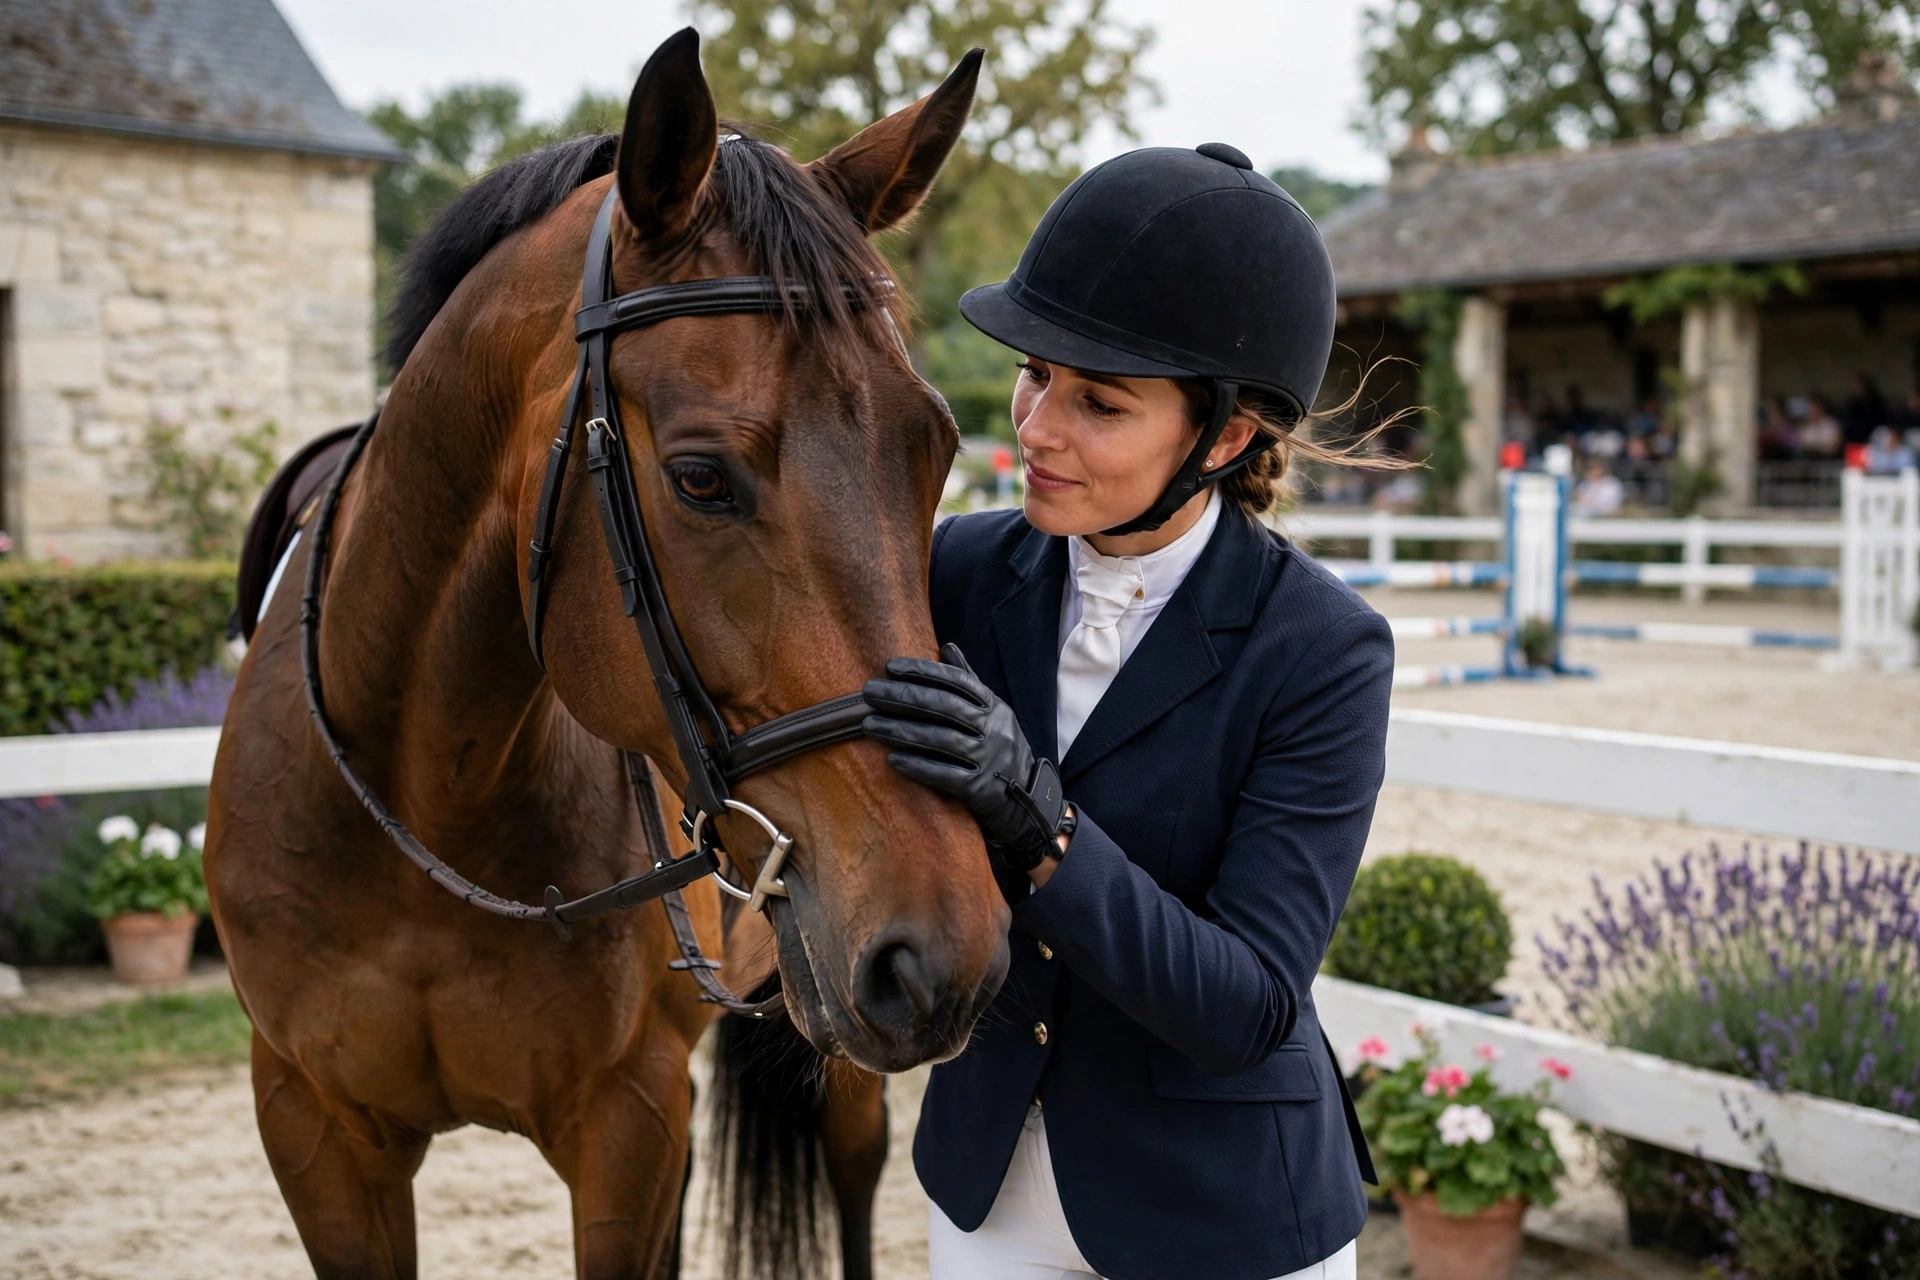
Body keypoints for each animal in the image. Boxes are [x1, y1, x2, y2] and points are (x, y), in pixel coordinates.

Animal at [205, 29, 1009, 1279]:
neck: (424, 807)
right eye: (699, 476)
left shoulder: (624, 1123)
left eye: (933, 450)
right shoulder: (315, 1127)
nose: (949, 947)